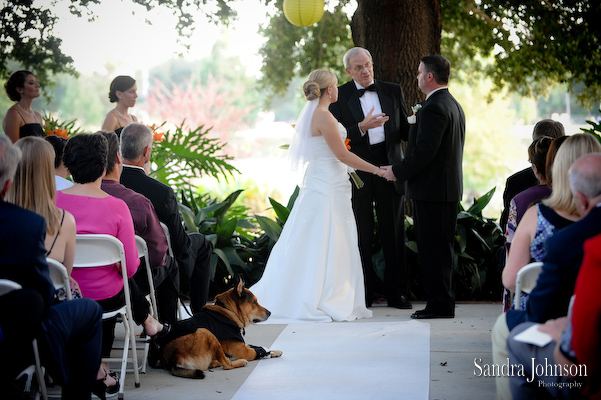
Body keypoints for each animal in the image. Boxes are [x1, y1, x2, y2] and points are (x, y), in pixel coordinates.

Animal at [150, 278, 282, 378]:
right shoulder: (243, 351)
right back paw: (237, 362)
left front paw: (274, 351)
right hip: (206, 332)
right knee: (228, 365)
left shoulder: (243, 344)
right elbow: (256, 351)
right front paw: (266, 353)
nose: (270, 313)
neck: (229, 312)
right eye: (254, 302)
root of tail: (174, 357)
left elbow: (259, 346)